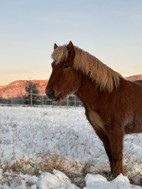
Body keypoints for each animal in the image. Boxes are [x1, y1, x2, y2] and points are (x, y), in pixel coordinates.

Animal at [45, 41, 142, 177]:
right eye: (52, 66)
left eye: (66, 66)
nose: (50, 92)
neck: (106, 95)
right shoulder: (101, 131)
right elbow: (109, 154)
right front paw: (112, 175)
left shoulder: (117, 131)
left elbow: (116, 154)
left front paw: (118, 177)